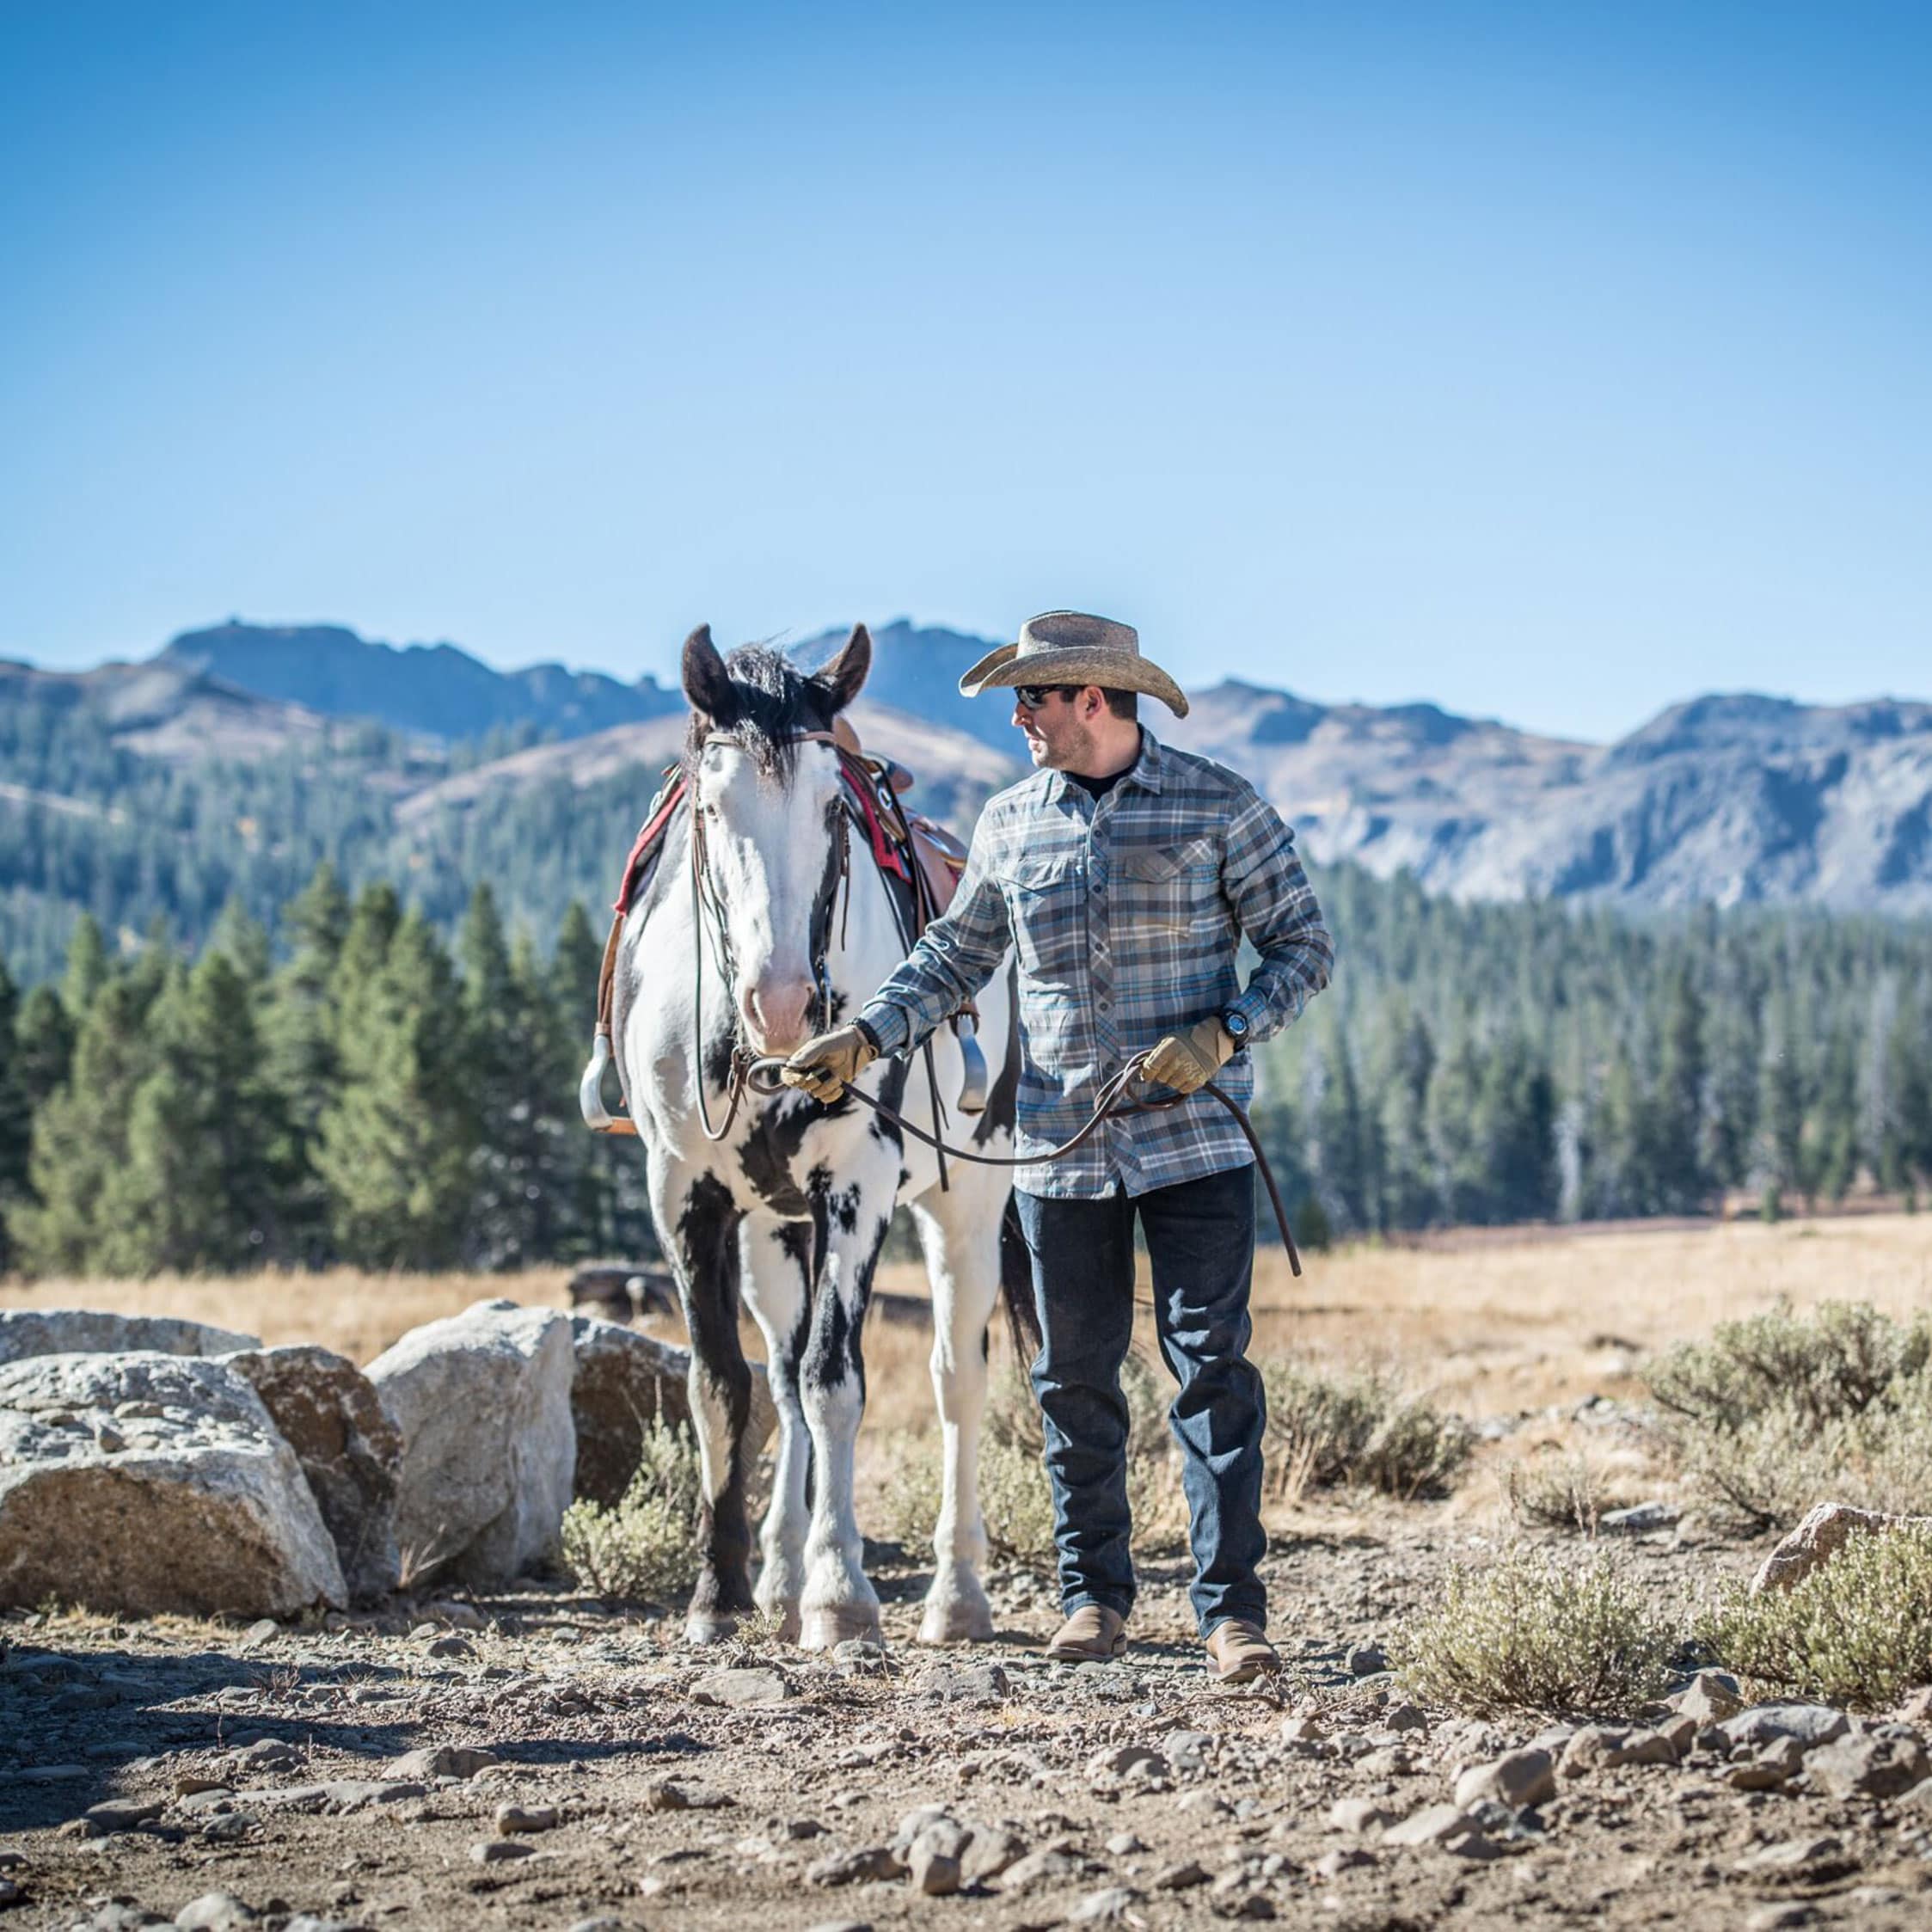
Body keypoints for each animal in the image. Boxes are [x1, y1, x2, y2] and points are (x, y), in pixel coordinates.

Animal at [606, 622, 1035, 1646]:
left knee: (955, 1376)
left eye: (833, 809)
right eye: (708, 808)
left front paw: (840, 1594)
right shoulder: (684, 1193)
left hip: (968, 1199)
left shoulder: (856, 1185)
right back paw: (776, 1572)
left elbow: (836, 1382)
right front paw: (719, 1591)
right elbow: (724, 1387)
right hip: (774, 1227)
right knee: (781, 1369)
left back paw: (955, 1594)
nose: (785, 1004)